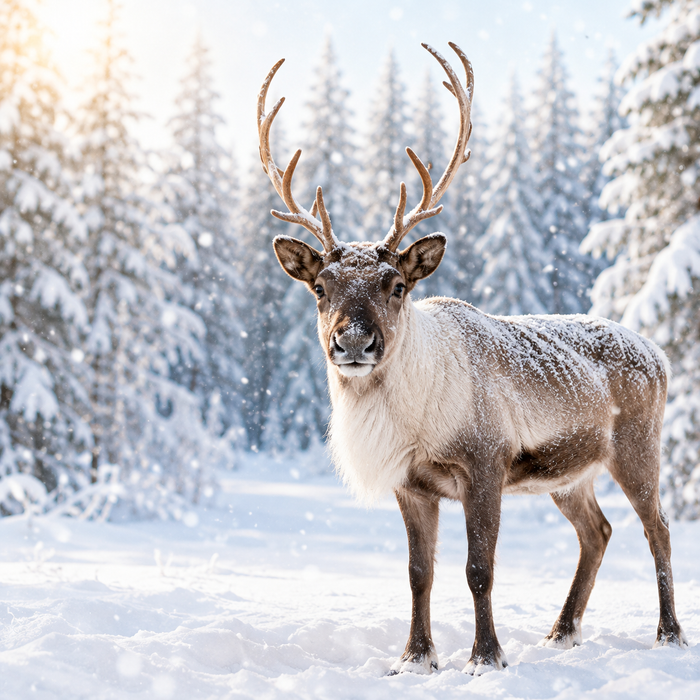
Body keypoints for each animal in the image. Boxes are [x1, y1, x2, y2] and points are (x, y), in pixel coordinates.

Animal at [257, 42, 687, 676]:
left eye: (395, 285)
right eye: (320, 286)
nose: (353, 342)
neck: (412, 423)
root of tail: (659, 354)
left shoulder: (485, 463)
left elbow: (478, 570)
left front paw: (486, 657)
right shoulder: (412, 485)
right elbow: (419, 574)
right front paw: (414, 658)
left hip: (636, 446)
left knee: (657, 527)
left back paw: (669, 633)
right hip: (571, 474)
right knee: (599, 531)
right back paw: (560, 632)